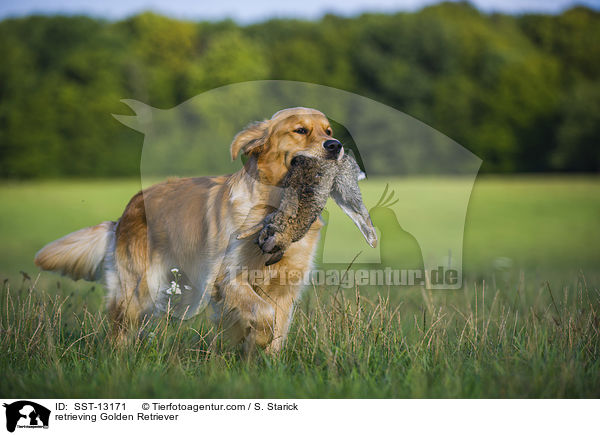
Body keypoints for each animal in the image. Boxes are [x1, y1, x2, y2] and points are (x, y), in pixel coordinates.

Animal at [35, 107, 372, 356]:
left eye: (328, 131)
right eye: (300, 130)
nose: (336, 146)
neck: (273, 204)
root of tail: (127, 209)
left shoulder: (285, 287)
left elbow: (278, 325)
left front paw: (265, 360)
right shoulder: (227, 277)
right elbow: (263, 315)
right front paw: (255, 341)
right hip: (138, 288)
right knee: (119, 330)